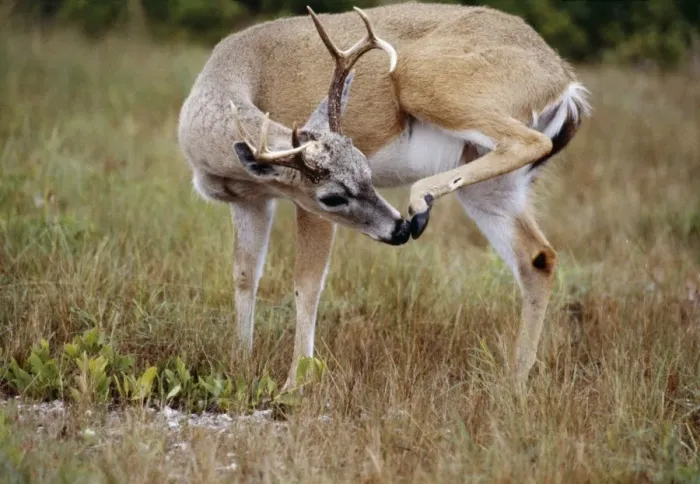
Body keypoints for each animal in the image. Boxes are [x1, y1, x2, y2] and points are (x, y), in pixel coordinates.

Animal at [177, 2, 591, 391]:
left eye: (366, 169)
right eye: (334, 195)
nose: (398, 230)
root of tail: (564, 81)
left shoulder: (303, 204)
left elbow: (306, 284)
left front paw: (294, 383)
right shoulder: (250, 201)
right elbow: (244, 274)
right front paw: (240, 363)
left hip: (422, 78)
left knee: (528, 143)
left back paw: (420, 202)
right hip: (492, 184)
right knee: (538, 257)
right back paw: (515, 382)